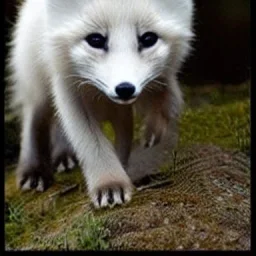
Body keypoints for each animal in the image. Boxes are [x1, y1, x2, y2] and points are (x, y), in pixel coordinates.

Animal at [7, 0, 193, 208]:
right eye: (95, 40)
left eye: (148, 38)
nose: (125, 88)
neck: (100, 97)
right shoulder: (70, 94)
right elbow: (93, 145)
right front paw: (110, 186)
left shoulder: (126, 108)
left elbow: (163, 101)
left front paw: (153, 131)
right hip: (37, 85)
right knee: (33, 118)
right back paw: (34, 172)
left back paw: (64, 156)